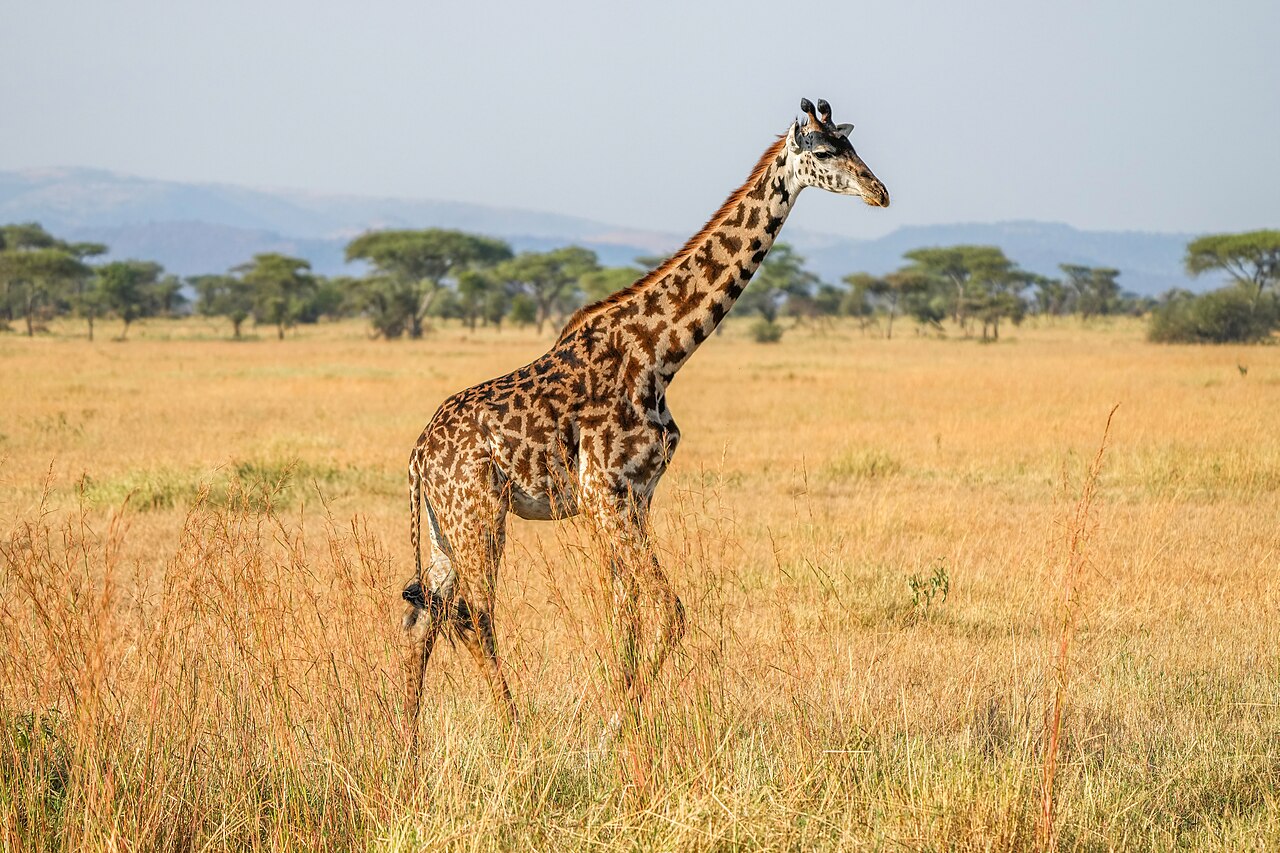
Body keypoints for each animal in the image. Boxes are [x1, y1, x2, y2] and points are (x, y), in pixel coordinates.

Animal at [401, 97, 889, 730]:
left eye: (854, 147)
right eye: (827, 152)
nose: (880, 192)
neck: (661, 354)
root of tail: (418, 455)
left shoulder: (636, 496)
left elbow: (625, 616)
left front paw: (622, 714)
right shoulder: (604, 495)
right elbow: (669, 611)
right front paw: (619, 720)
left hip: (443, 527)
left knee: (424, 617)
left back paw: (406, 736)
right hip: (479, 513)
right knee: (473, 616)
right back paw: (516, 731)